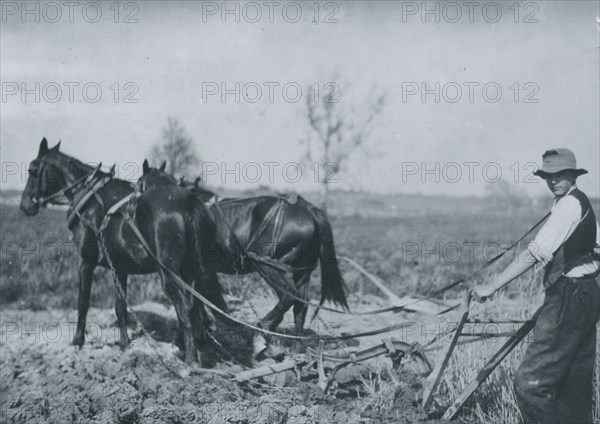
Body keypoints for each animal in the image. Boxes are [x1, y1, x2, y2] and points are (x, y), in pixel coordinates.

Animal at [20, 138, 225, 362]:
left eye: (32, 170)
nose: (24, 205)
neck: (89, 201)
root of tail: (189, 202)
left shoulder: (85, 262)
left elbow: (83, 303)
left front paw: (77, 341)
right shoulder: (120, 267)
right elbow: (121, 307)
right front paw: (124, 343)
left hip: (170, 274)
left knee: (186, 309)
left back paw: (191, 358)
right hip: (191, 271)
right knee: (195, 306)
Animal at [136, 161, 346, 334]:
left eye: (138, 184)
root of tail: (308, 210)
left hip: (269, 266)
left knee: (288, 297)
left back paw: (264, 326)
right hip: (302, 272)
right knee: (300, 308)